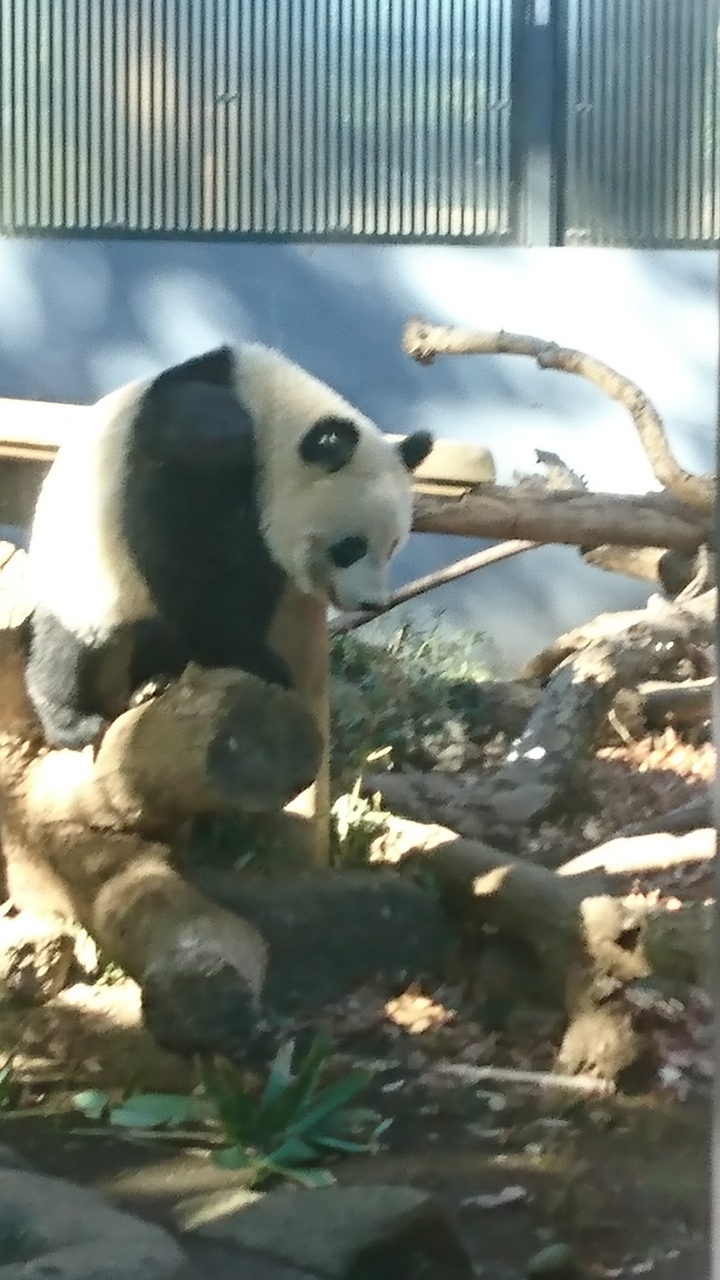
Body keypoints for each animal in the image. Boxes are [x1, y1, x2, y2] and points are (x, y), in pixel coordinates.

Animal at [25, 345, 430, 752]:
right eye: (350, 547)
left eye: (392, 547)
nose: (371, 603)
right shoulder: (193, 442)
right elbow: (190, 557)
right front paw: (257, 662)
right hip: (86, 572)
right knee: (70, 649)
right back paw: (73, 720)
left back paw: (156, 676)